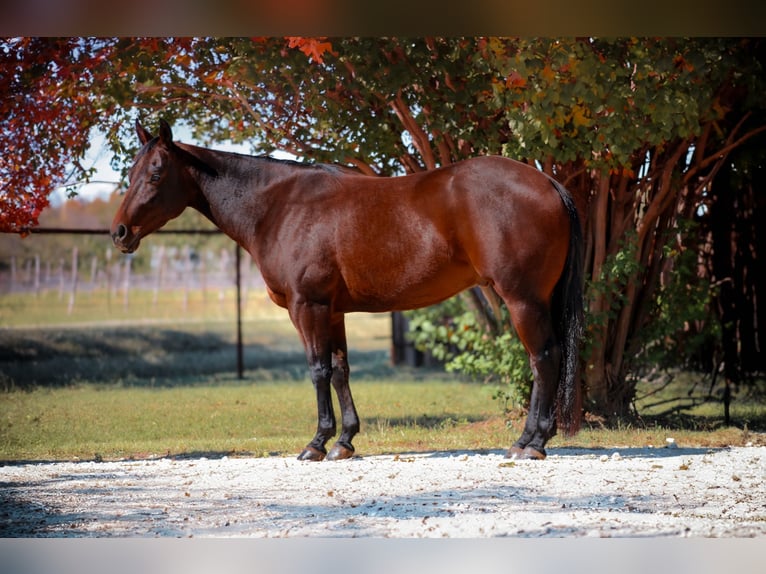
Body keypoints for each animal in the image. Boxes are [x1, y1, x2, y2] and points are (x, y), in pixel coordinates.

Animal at [111, 120, 584, 464]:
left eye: (155, 173)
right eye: (131, 173)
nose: (119, 233)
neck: (280, 206)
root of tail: (547, 183)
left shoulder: (307, 307)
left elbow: (318, 370)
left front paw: (316, 444)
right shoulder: (332, 311)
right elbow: (340, 370)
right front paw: (344, 441)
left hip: (522, 299)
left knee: (544, 359)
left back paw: (530, 444)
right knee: (547, 358)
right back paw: (532, 439)